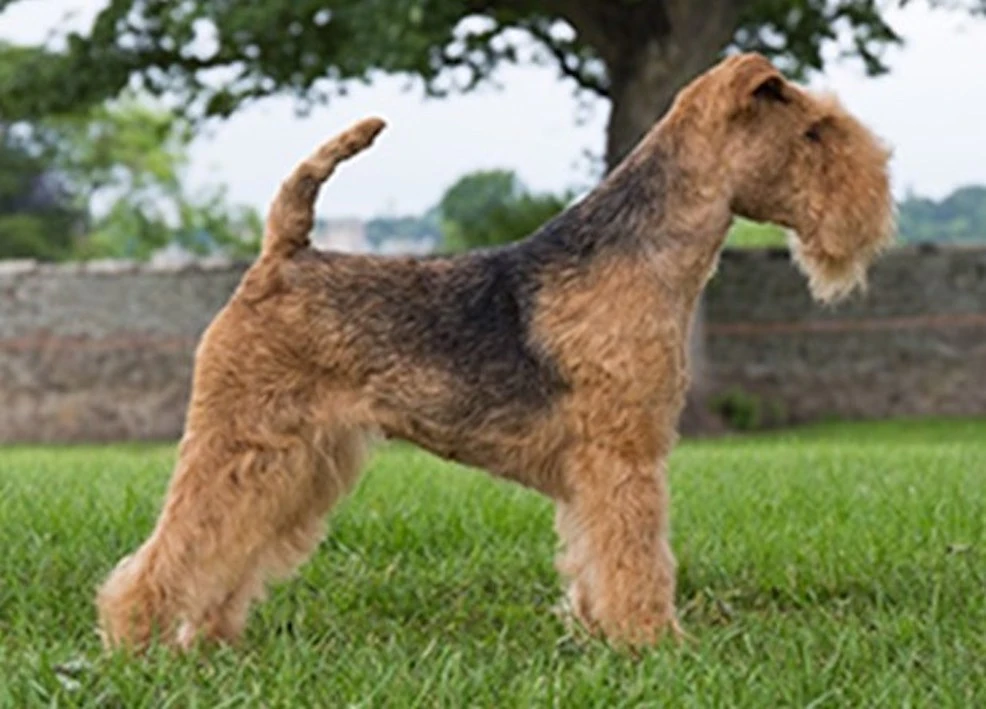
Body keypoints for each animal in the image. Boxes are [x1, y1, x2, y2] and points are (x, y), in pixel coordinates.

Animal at [94, 54, 892, 652]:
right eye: (814, 131)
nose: (877, 203)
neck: (643, 255)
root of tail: (279, 257)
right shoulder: (624, 456)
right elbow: (636, 555)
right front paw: (655, 642)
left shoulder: (594, 471)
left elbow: (595, 557)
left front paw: (603, 635)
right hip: (244, 440)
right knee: (172, 549)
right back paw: (135, 639)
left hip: (299, 460)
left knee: (228, 546)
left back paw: (209, 640)